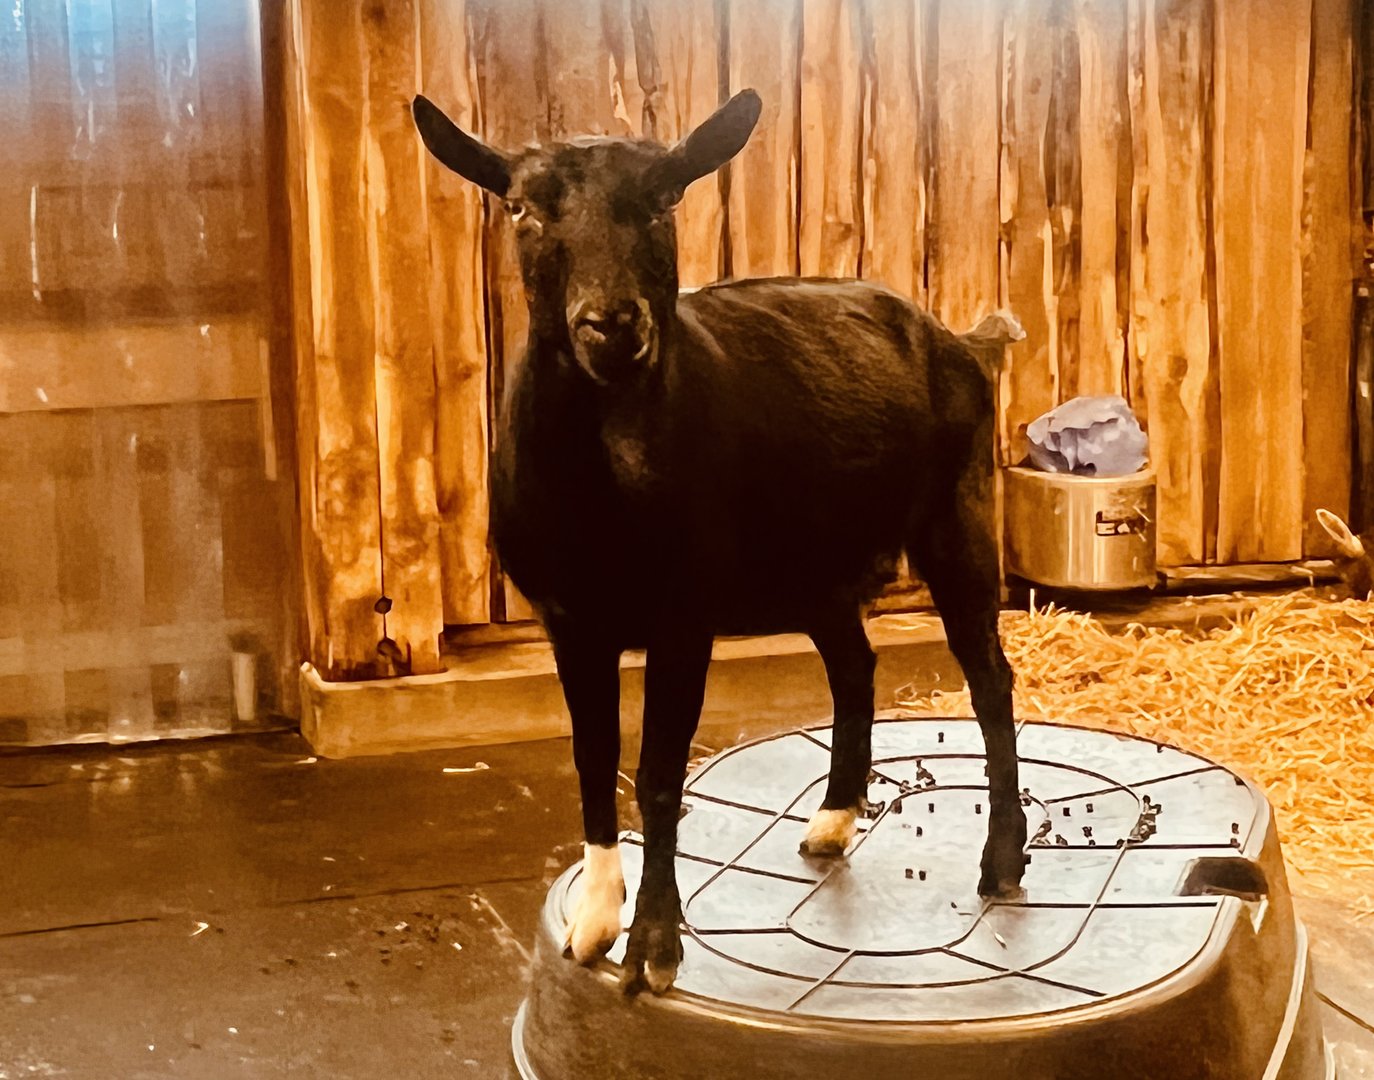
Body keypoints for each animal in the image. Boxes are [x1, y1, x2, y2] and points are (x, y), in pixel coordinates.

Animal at [413, 89, 1027, 995]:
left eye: (665, 200)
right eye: (521, 207)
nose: (611, 325)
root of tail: (958, 340)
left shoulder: (683, 614)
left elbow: (661, 776)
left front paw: (654, 945)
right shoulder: (569, 620)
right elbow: (594, 756)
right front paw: (594, 921)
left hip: (957, 518)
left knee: (989, 679)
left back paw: (1002, 860)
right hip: (813, 565)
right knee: (855, 665)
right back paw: (832, 820)